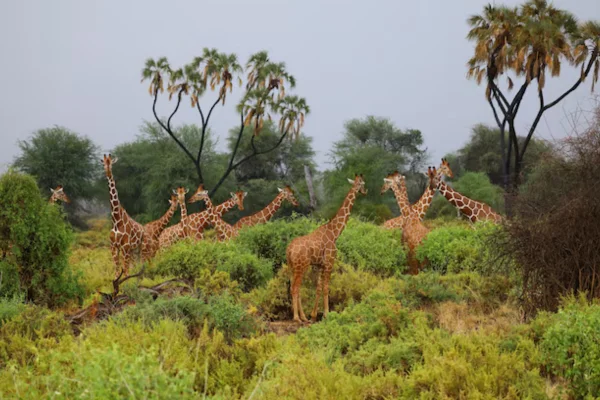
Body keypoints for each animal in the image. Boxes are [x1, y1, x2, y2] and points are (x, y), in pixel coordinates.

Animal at [284, 173, 366, 324]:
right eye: (362, 183)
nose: (365, 191)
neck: (335, 232)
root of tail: (289, 249)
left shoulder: (319, 265)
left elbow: (318, 288)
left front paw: (313, 315)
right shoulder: (329, 262)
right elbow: (327, 288)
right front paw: (327, 314)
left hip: (291, 266)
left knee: (295, 287)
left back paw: (303, 317)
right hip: (300, 266)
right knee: (295, 288)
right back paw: (297, 318)